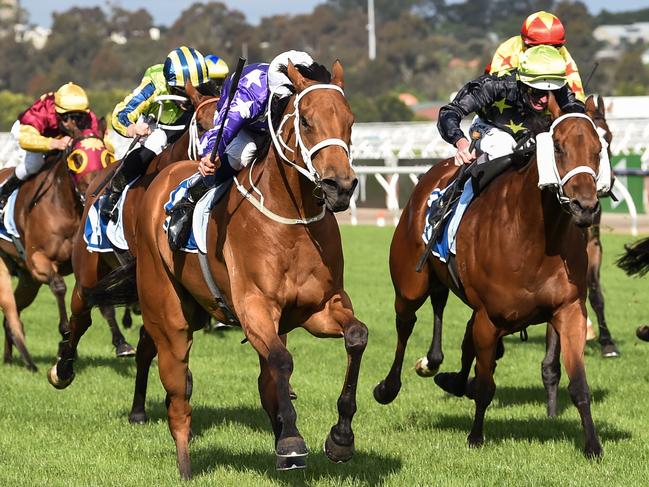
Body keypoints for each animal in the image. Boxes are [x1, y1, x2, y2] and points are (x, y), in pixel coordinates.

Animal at [0, 132, 132, 372]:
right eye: (77, 159)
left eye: (107, 156)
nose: (96, 190)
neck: (66, 208)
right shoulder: (38, 260)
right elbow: (59, 287)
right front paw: (65, 334)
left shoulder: (90, 264)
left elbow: (101, 299)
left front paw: (121, 343)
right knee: (10, 311)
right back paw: (29, 361)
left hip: (28, 281)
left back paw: (10, 358)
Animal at [93, 61, 368, 480]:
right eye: (305, 120)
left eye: (350, 120)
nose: (341, 186)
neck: (293, 221)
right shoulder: (254, 307)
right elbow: (282, 361)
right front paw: (291, 442)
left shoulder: (319, 308)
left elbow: (356, 336)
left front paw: (340, 438)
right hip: (168, 314)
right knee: (177, 392)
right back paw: (185, 465)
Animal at [372, 97, 604, 460]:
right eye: (558, 146)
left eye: (598, 148)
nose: (586, 207)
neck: (534, 236)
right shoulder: (489, 318)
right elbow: (484, 385)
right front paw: (475, 437)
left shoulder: (568, 312)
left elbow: (579, 383)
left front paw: (592, 445)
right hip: (410, 284)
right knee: (406, 323)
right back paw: (390, 386)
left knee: (450, 318)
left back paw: (445, 373)